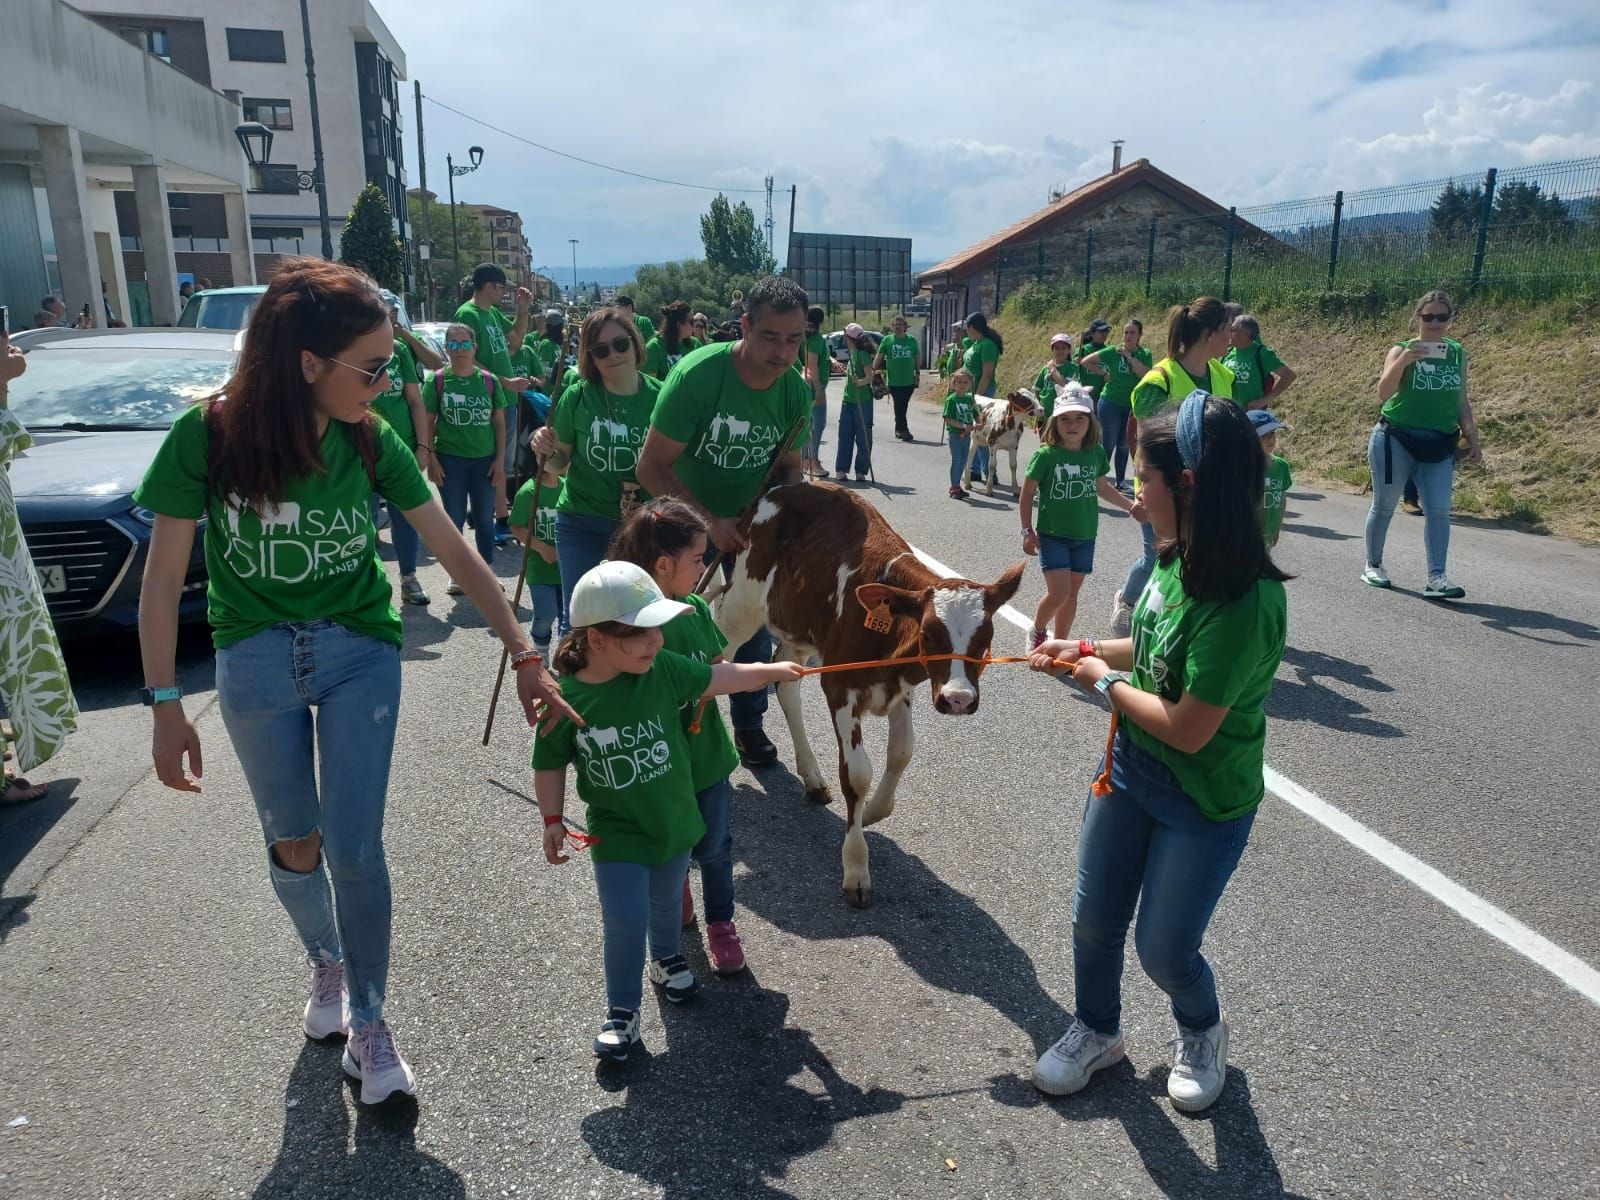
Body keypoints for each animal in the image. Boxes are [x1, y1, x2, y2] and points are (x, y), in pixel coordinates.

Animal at [716, 483, 1017, 908]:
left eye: (985, 639)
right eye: (929, 634)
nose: (958, 698)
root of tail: (775, 490)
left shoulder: (899, 689)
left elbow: (902, 752)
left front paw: (873, 812)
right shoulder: (840, 687)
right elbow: (857, 775)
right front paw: (856, 866)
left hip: (797, 628)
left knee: (785, 681)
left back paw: (812, 777)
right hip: (741, 604)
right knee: (715, 651)